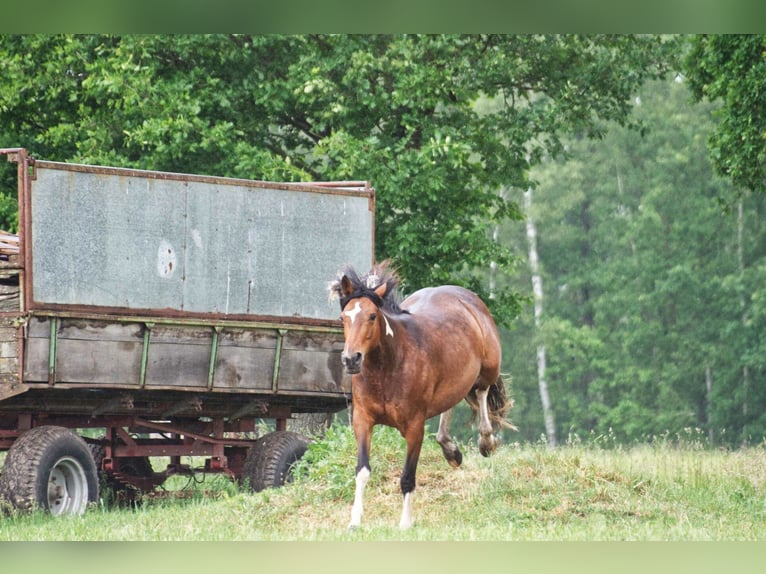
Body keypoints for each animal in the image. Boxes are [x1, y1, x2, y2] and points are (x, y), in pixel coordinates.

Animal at [330, 262, 516, 532]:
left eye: (372, 316)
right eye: (343, 317)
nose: (351, 359)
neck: (388, 367)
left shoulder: (414, 426)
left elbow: (408, 476)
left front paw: (405, 523)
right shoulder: (362, 421)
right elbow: (362, 470)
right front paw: (355, 521)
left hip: (489, 368)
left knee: (481, 391)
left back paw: (486, 441)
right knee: (453, 400)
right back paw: (450, 450)